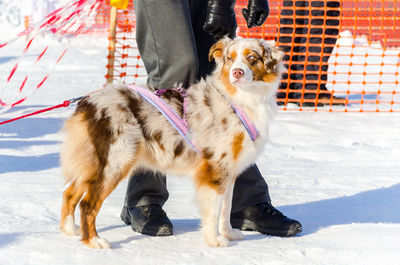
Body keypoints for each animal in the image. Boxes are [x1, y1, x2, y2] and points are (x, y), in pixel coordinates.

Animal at [58, 37, 284, 248]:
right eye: (230, 58)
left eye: (252, 58)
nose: (236, 72)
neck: (240, 99)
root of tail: (89, 102)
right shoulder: (215, 168)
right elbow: (213, 210)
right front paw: (214, 240)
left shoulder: (230, 171)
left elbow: (225, 209)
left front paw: (228, 234)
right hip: (116, 162)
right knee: (87, 204)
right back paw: (94, 241)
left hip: (95, 163)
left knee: (69, 193)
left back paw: (71, 230)